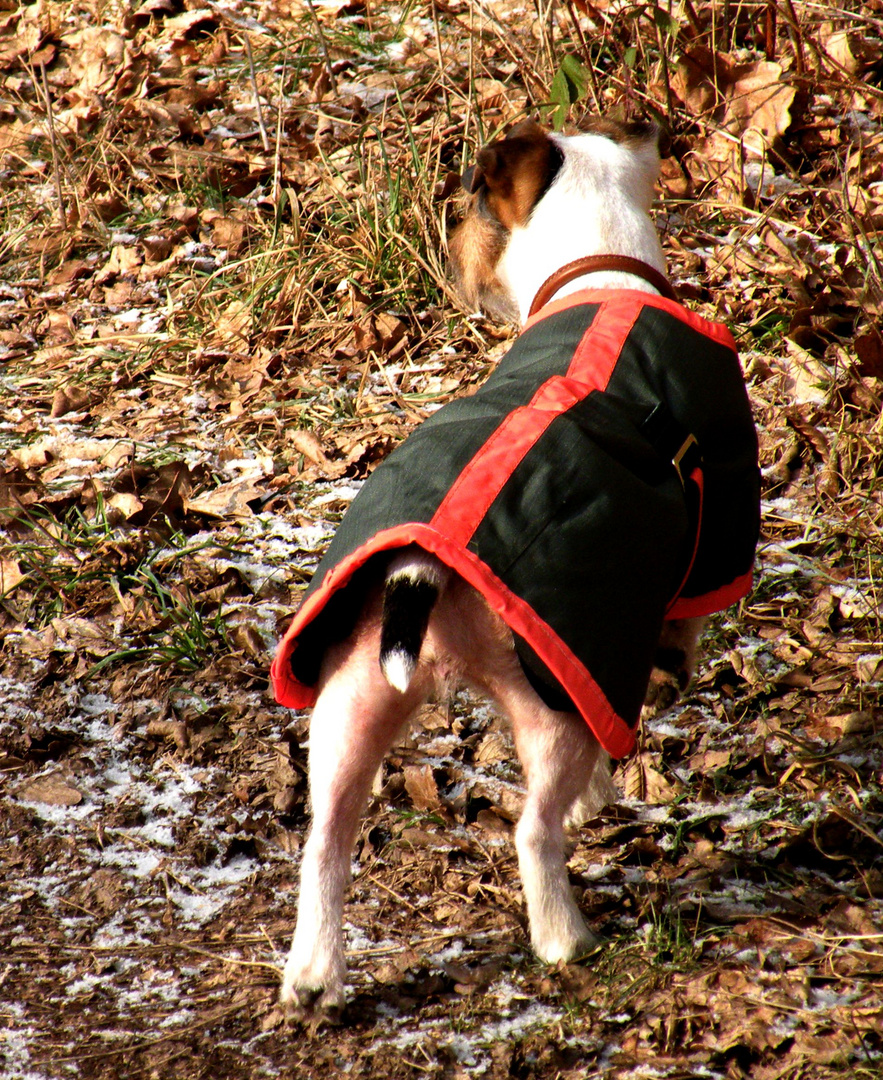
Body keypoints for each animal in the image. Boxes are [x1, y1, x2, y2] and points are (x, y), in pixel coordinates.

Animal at [269, 120, 755, 1019]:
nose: (442, 237)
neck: (600, 271)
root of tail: (420, 565)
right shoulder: (709, 541)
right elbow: (684, 623)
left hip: (349, 699)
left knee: (326, 839)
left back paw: (314, 977)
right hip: (551, 704)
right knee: (535, 827)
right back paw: (565, 937)